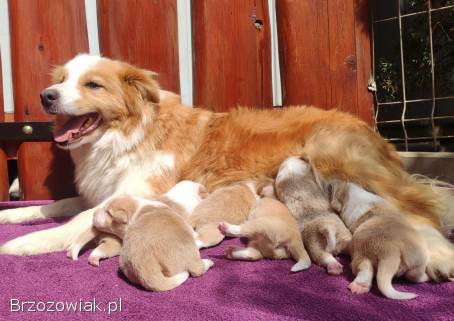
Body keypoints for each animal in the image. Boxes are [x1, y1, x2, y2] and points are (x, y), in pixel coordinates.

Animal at [0, 55, 454, 280]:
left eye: (92, 85)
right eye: (62, 79)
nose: (45, 95)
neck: (128, 132)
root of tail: (368, 128)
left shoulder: (136, 192)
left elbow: (77, 220)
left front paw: (25, 245)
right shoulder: (102, 190)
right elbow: (56, 205)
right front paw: (16, 216)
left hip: (341, 160)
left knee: (423, 211)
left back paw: (438, 257)